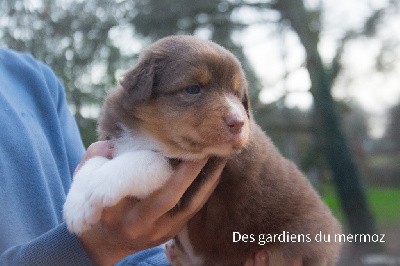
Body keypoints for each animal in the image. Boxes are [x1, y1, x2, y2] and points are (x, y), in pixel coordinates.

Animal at [63, 35, 340, 266]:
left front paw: (95, 191)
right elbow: (96, 161)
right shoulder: (114, 141)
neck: (151, 134)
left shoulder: (196, 179)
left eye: (237, 94)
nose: (239, 122)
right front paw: (78, 203)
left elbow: (145, 159)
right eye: (193, 89)